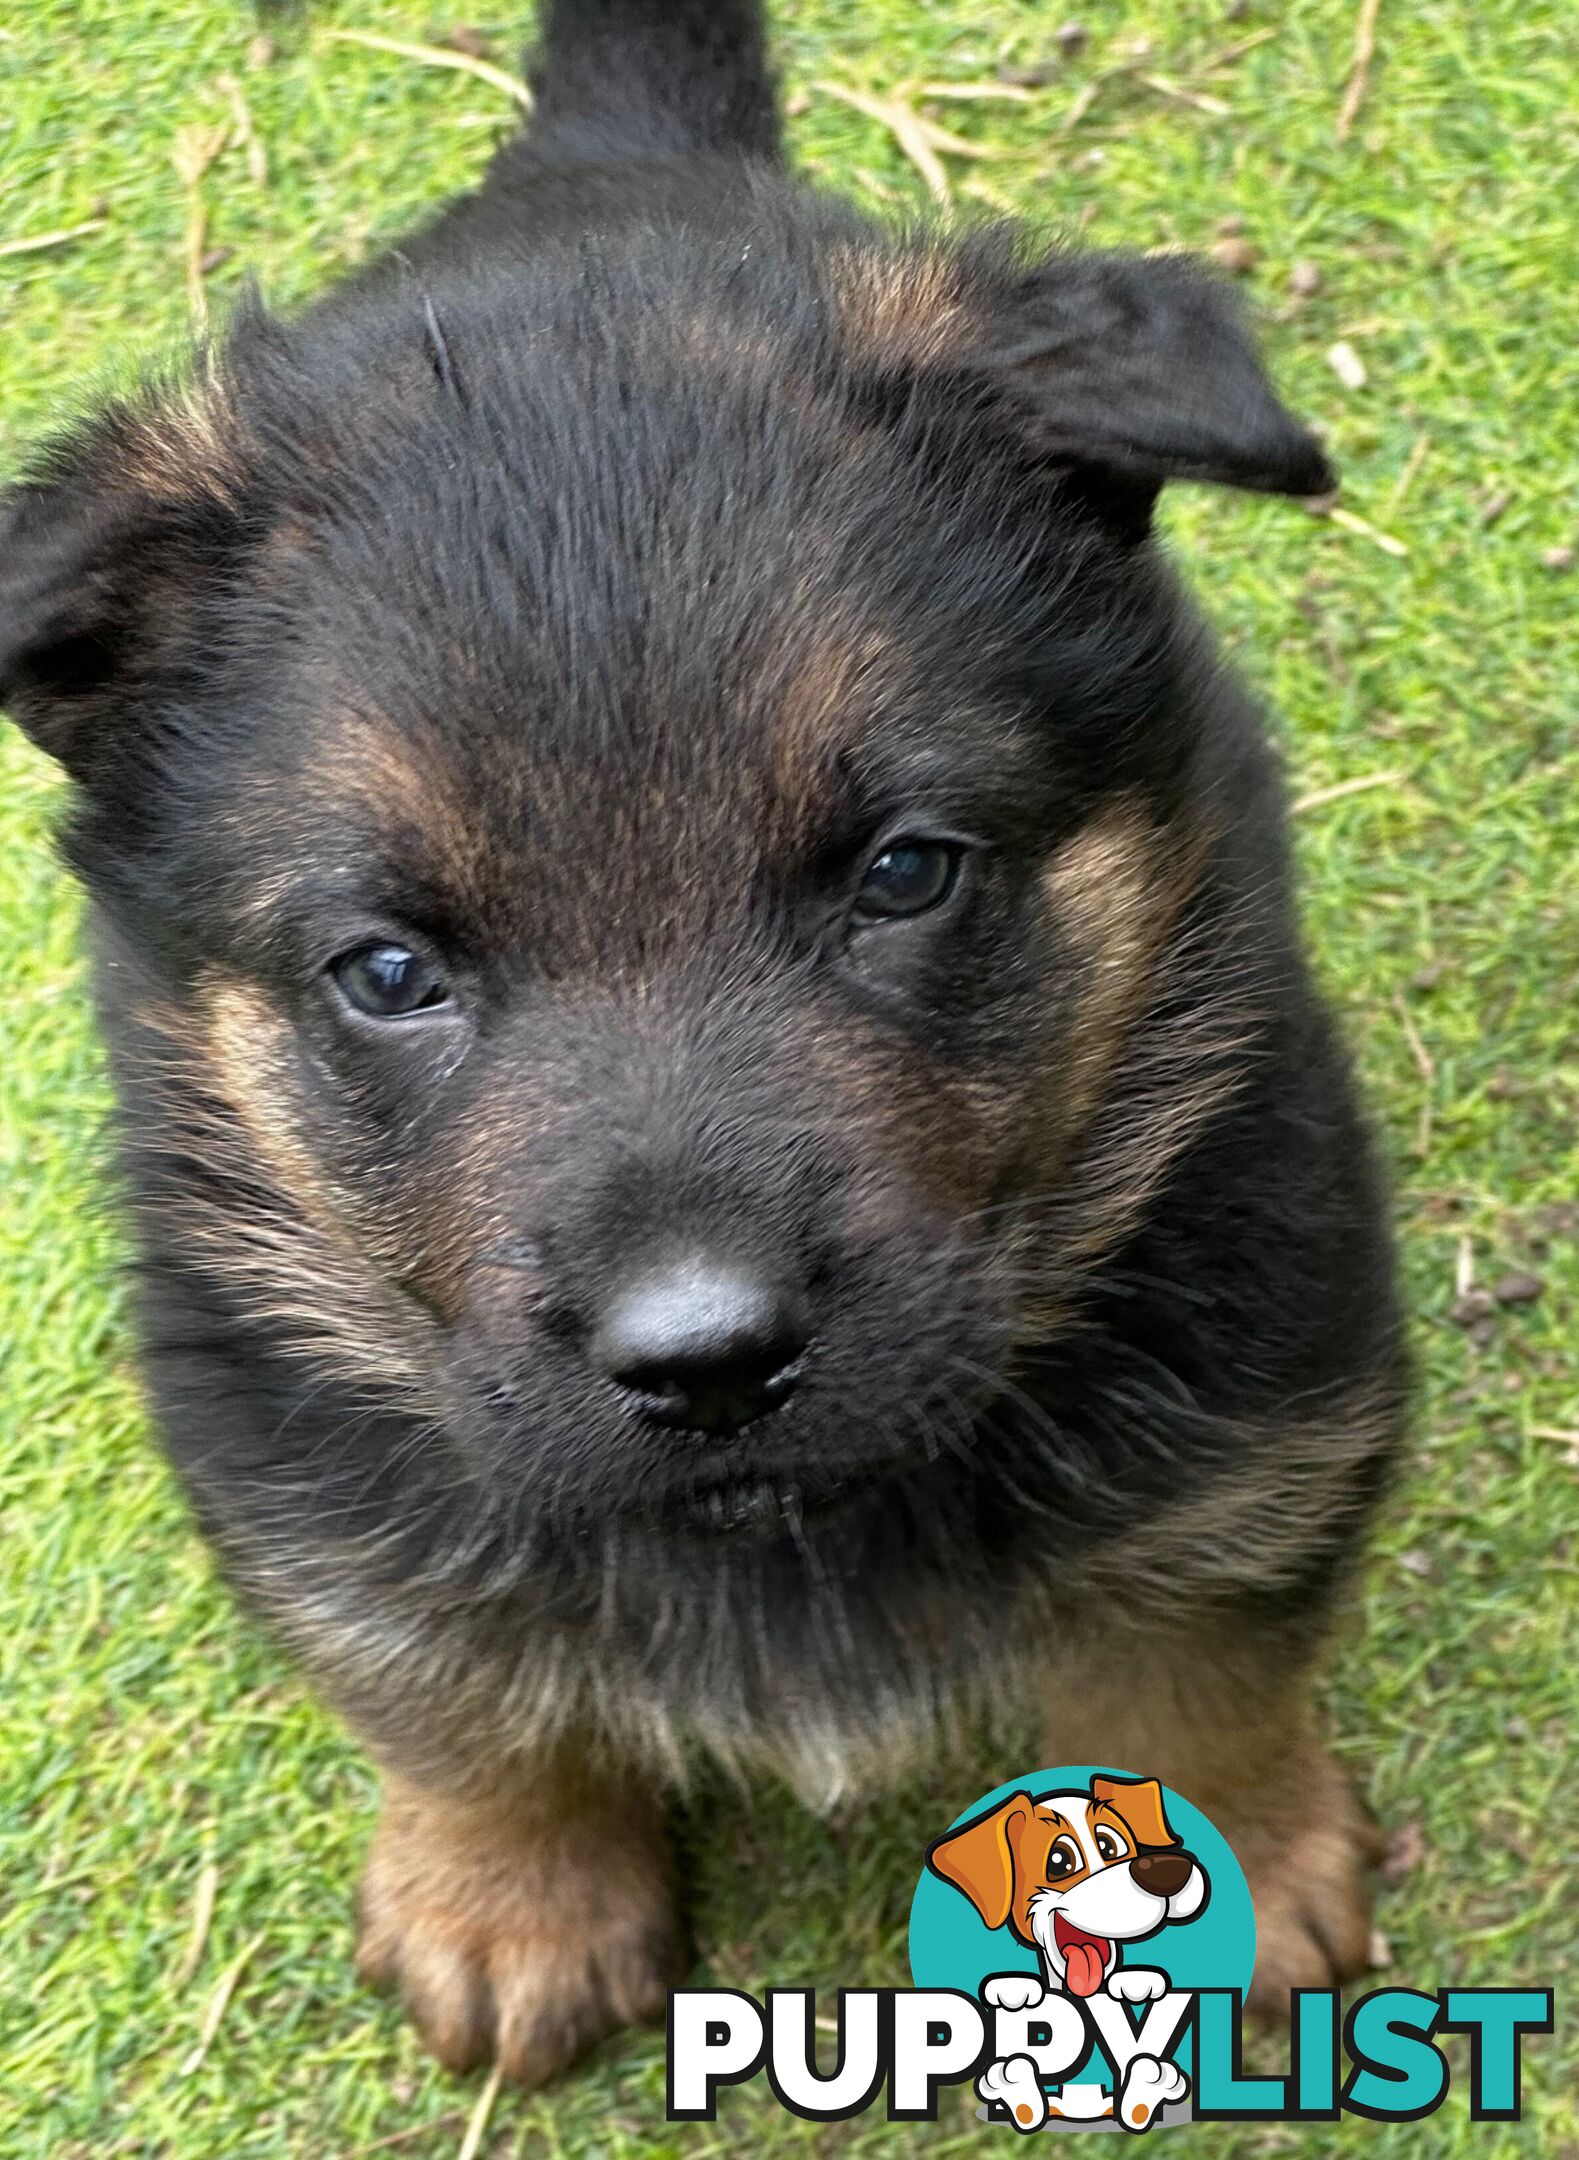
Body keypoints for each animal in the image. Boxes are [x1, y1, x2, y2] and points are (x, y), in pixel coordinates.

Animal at [0, 4, 1408, 2090]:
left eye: (903, 873)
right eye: (387, 972)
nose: (705, 1360)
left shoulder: (1260, 1402)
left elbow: (1199, 1665)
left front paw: (1239, 1864)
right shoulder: (292, 1450)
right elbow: (440, 1686)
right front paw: (503, 1890)